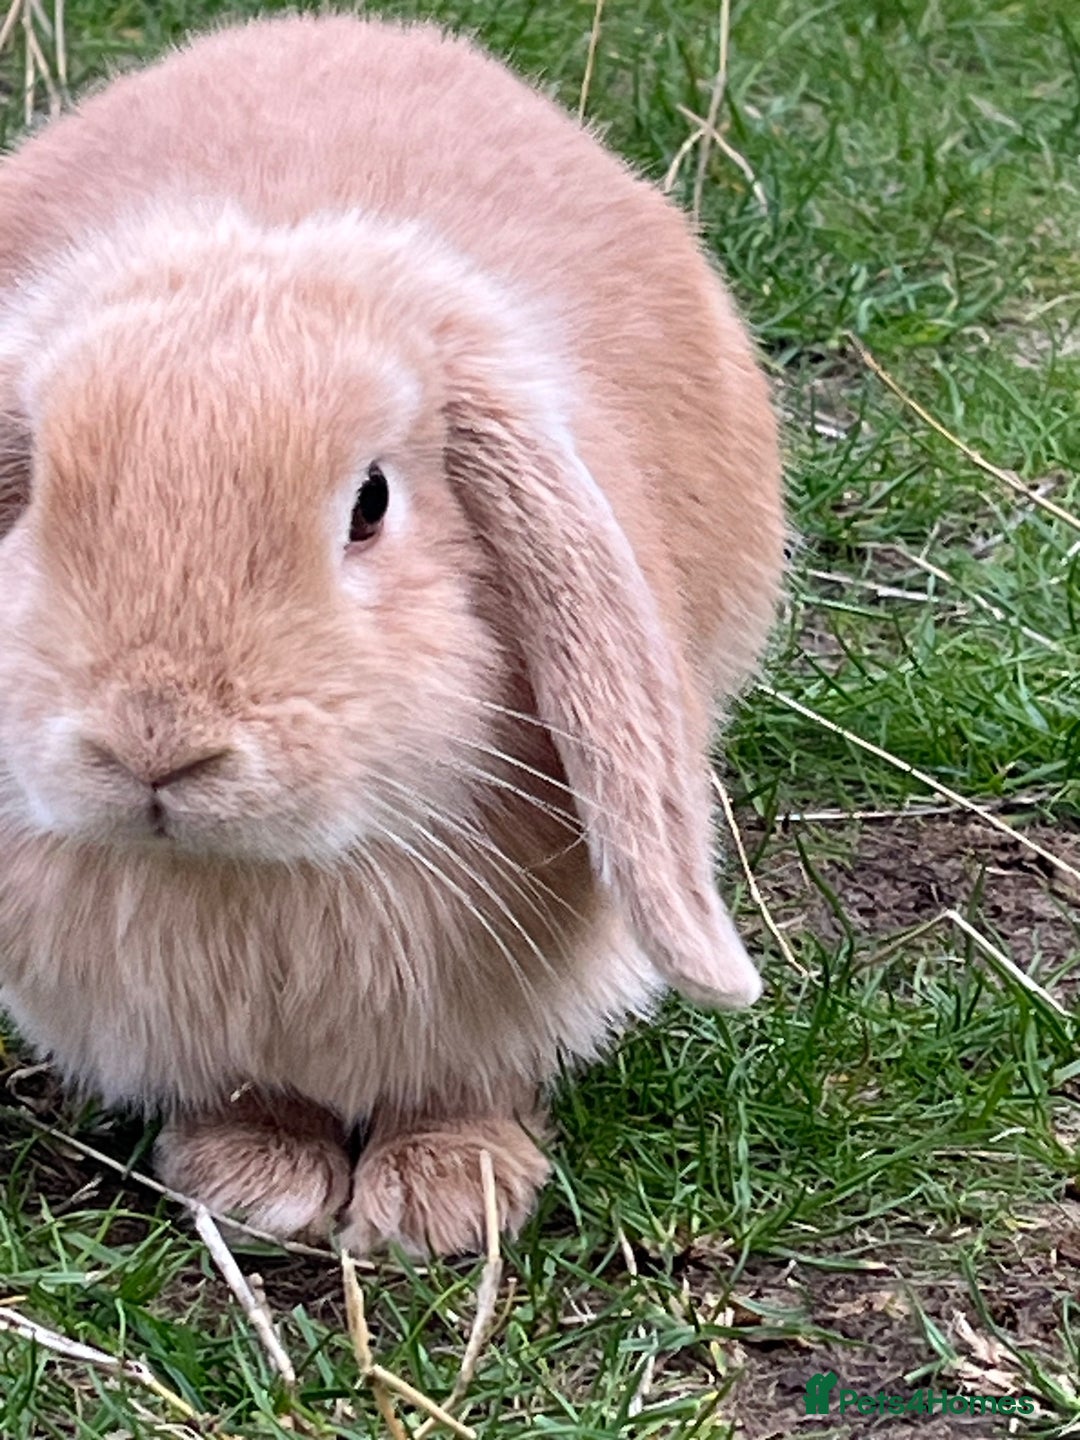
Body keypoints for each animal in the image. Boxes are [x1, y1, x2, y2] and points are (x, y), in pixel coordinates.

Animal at [0, 14, 784, 1255]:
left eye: (370, 504)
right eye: (36, 502)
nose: (152, 743)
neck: (260, 880)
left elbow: (462, 1083)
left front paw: (443, 1201)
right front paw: (256, 1181)